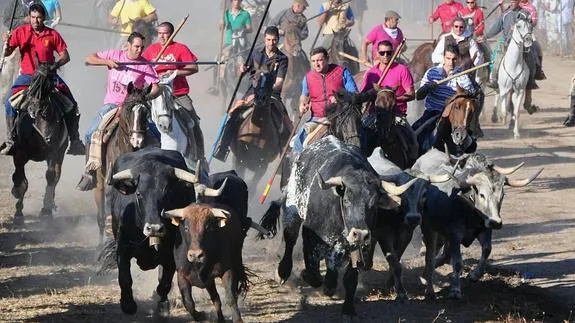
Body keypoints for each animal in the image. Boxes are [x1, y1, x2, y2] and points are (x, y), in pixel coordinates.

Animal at [9, 63, 68, 225]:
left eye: (49, 84)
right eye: (33, 79)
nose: (33, 109)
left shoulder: (53, 152)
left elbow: (50, 177)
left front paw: (46, 211)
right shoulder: (20, 154)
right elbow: (21, 181)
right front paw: (18, 213)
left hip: (61, 154)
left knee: (56, 177)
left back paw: (50, 204)